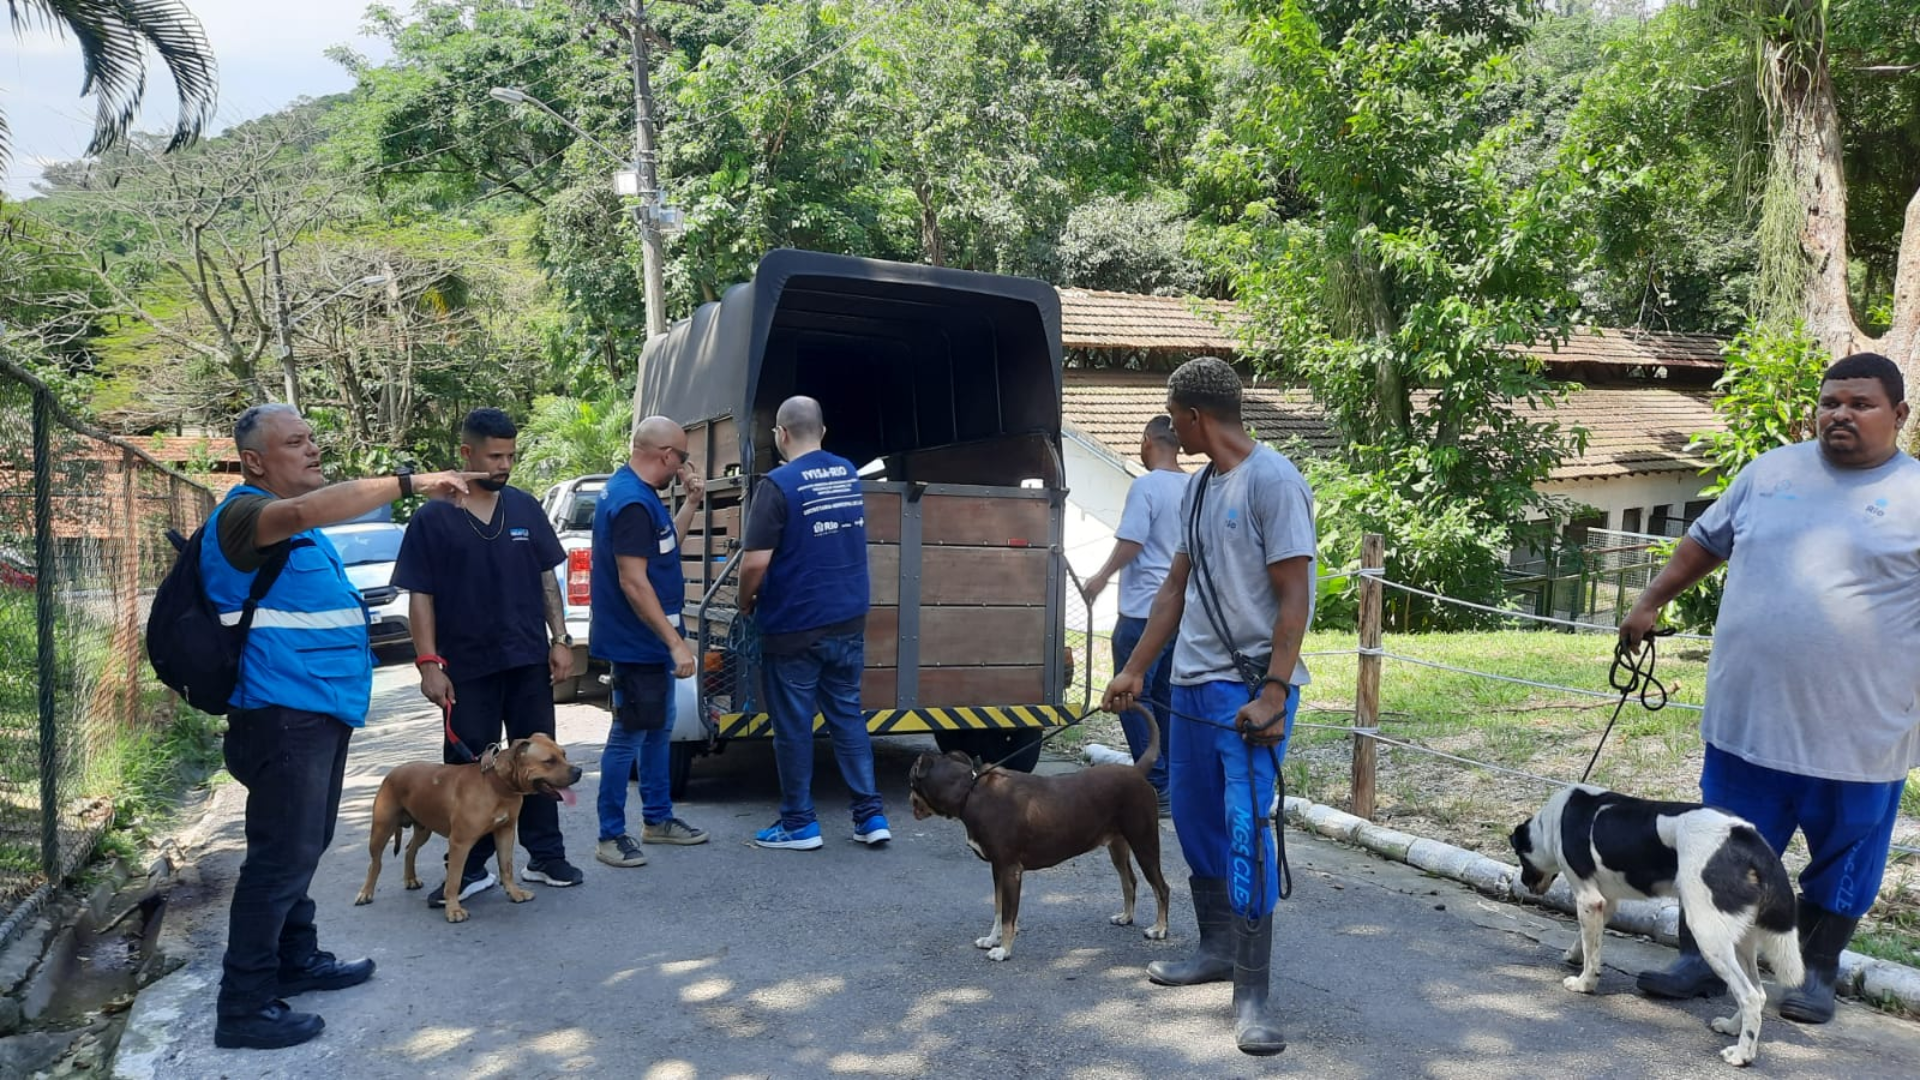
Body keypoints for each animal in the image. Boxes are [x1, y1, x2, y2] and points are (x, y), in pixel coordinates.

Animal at [351, 730, 576, 914]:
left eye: (564, 755)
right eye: (549, 761)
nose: (578, 771)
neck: (496, 784)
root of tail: (392, 772)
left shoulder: (506, 832)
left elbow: (506, 867)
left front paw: (514, 893)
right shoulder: (460, 843)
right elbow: (454, 879)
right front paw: (453, 910)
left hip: (423, 828)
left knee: (410, 850)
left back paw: (411, 879)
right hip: (381, 829)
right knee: (375, 863)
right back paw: (365, 893)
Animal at [910, 707, 1167, 957]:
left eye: (911, 780)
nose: (910, 798)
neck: (969, 792)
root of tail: (1137, 771)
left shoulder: (1011, 870)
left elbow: (1008, 917)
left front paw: (1003, 950)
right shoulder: (997, 868)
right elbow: (998, 909)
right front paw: (992, 940)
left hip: (1145, 843)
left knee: (1162, 888)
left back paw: (1160, 929)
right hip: (1118, 846)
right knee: (1130, 881)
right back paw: (1126, 916)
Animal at [1512, 780, 1797, 1068]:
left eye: (1521, 858)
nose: (1524, 883)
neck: (1553, 820)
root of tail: (1747, 838)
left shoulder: (1589, 899)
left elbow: (1592, 954)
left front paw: (1584, 984)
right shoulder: (1606, 903)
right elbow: (1587, 940)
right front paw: (1573, 955)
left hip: (1707, 931)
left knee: (1749, 996)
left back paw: (1741, 1054)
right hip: (1739, 938)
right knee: (1758, 994)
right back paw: (1731, 1027)